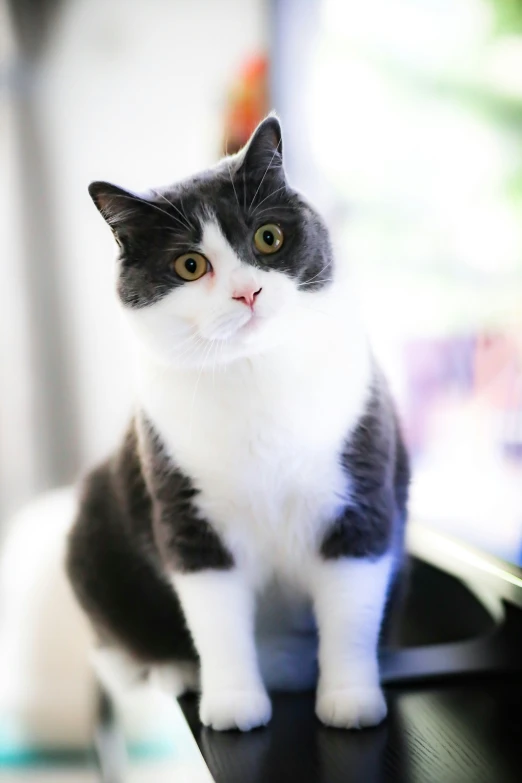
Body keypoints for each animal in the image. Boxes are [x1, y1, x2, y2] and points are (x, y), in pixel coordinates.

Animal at [64, 116, 406, 736]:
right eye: (189, 265)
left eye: (268, 237)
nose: (248, 291)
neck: (255, 371)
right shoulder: (188, 517)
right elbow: (217, 620)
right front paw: (233, 705)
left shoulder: (361, 495)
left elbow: (352, 609)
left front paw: (351, 701)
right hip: (91, 532)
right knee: (118, 648)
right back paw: (172, 669)